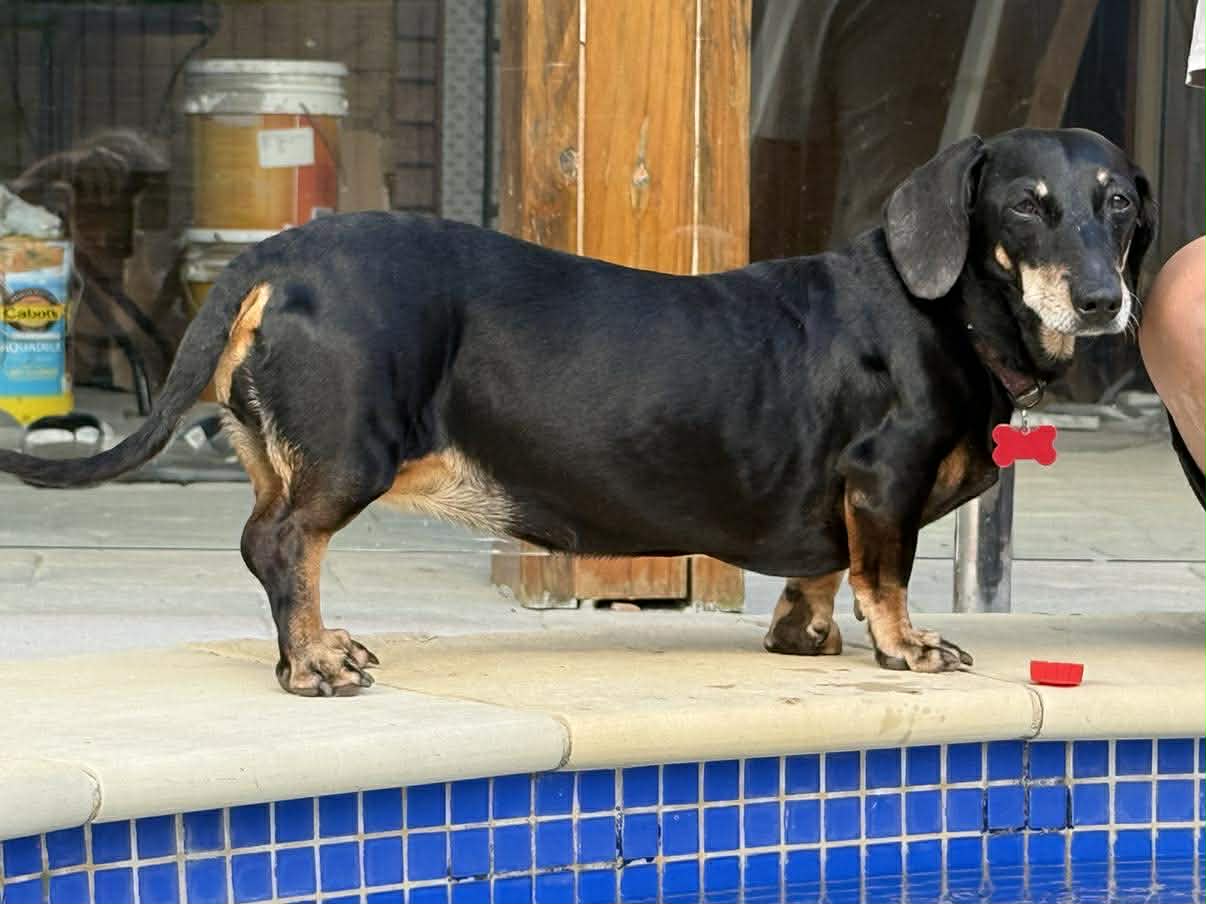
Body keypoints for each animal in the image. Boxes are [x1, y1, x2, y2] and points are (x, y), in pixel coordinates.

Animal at [0, 127, 1155, 696]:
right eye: (1026, 207)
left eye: (1120, 205)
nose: (1105, 301)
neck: (948, 311)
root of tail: (278, 255)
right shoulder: (886, 480)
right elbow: (885, 576)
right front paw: (907, 647)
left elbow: (821, 574)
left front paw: (804, 632)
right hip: (347, 454)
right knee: (281, 546)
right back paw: (313, 665)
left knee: (286, 553)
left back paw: (319, 647)